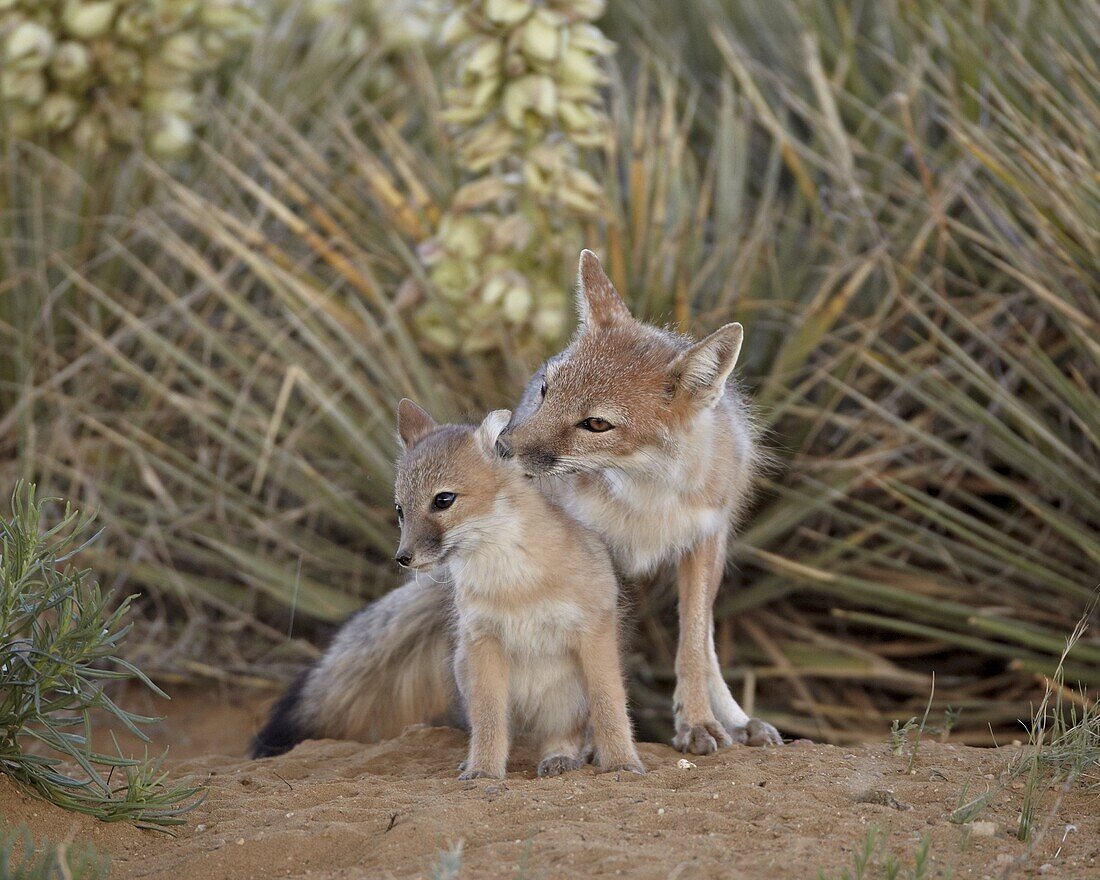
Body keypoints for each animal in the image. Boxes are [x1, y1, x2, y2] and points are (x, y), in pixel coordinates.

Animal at [251, 398, 642, 778]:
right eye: (400, 510)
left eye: (443, 500)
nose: (403, 558)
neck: (514, 585)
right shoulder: (483, 640)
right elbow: (488, 719)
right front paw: (483, 769)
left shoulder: (593, 632)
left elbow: (609, 708)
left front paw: (622, 762)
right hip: (465, 667)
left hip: (565, 698)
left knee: (563, 734)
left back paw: (560, 757)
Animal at [501, 249, 783, 756]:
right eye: (547, 391)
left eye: (596, 424)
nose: (501, 446)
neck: (647, 499)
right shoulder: (594, 557)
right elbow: (599, 655)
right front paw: (594, 738)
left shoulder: (703, 543)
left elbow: (693, 647)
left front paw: (698, 721)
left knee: (707, 640)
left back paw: (738, 720)